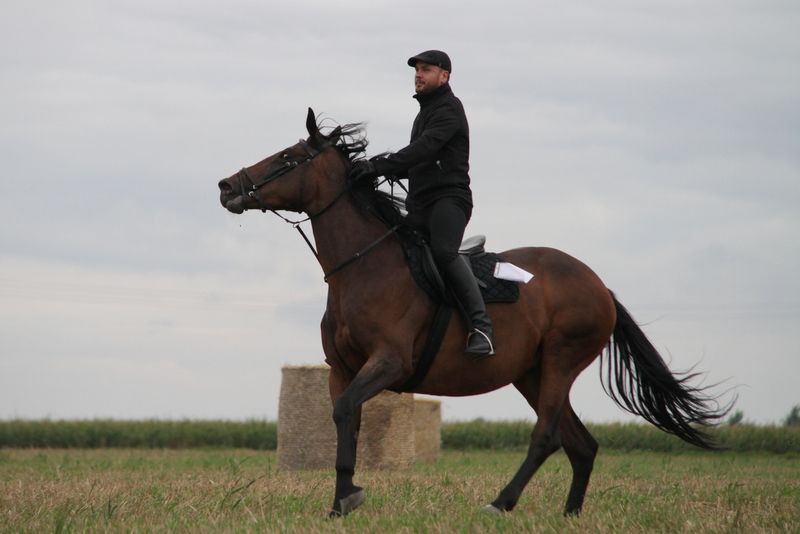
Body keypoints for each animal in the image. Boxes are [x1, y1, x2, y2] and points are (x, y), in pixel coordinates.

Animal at [216, 108, 728, 520]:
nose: (226, 186)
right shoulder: (342, 370)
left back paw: (500, 504)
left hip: (560, 362)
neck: (364, 266)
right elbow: (347, 424)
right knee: (581, 444)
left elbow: (346, 413)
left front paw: (348, 498)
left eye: (287, 157)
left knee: (548, 437)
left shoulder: (388, 363)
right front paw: (342, 501)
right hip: (531, 373)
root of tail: (599, 285)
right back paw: (570, 515)